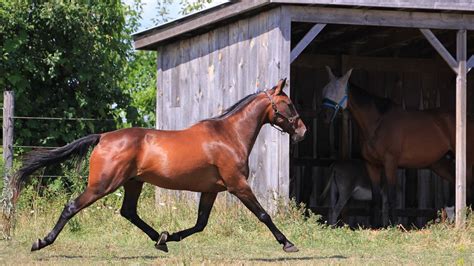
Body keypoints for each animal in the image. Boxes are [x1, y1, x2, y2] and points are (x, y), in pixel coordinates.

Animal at [12, 78, 308, 251]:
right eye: (289, 104)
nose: (303, 131)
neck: (228, 136)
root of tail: (103, 137)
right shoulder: (238, 185)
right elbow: (263, 214)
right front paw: (288, 243)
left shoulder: (211, 190)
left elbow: (200, 224)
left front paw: (170, 236)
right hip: (103, 185)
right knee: (72, 206)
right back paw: (42, 242)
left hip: (133, 183)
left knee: (129, 212)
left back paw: (159, 240)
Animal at [320, 67, 472, 227]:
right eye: (324, 90)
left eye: (338, 91)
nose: (325, 116)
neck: (378, 122)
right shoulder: (372, 165)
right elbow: (376, 198)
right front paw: (376, 227)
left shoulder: (390, 163)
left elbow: (392, 197)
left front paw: (394, 226)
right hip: (439, 163)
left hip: (466, 159)